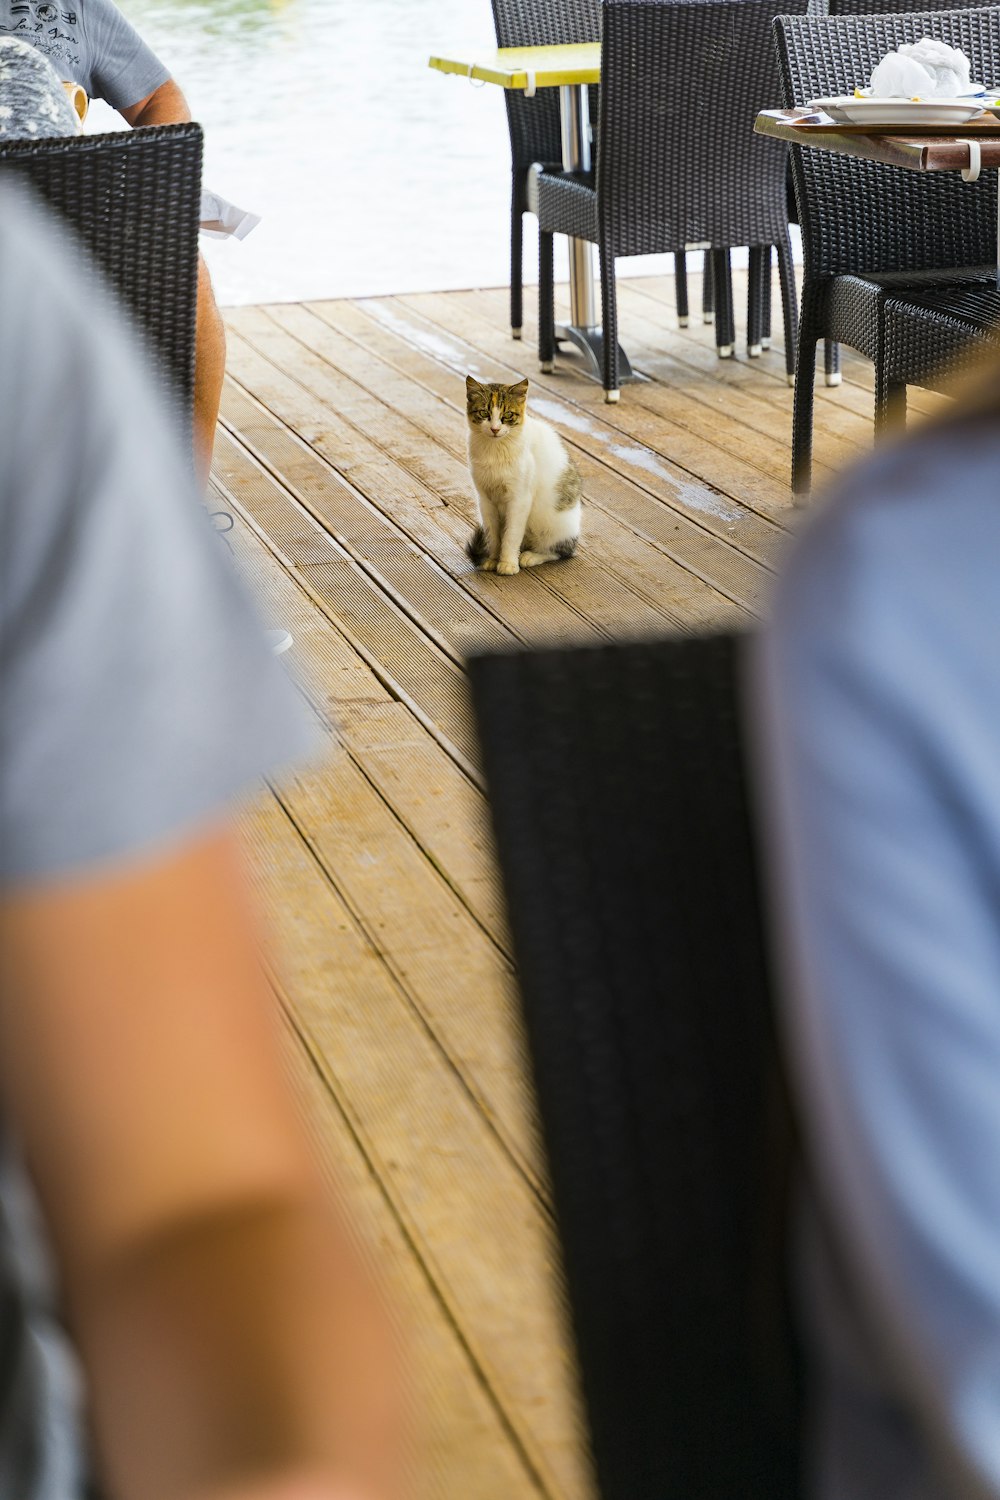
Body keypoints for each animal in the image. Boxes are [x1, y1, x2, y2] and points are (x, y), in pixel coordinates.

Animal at [464, 375, 581, 573]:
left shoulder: (519, 498)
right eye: (484, 413)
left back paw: (530, 556)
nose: (495, 429)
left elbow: (511, 535)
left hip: (553, 524)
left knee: (562, 551)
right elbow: (493, 535)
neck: (495, 451)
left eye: (507, 415)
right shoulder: (485, 499)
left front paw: (507, 563)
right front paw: (493, 559)